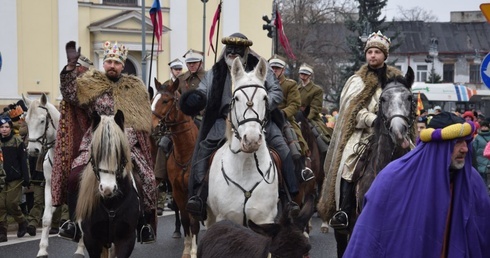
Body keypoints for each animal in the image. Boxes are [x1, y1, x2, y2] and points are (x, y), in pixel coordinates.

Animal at [22, 93, 85, 258]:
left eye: (42, 120)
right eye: (26, 121)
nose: (32, 150)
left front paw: (80, 249)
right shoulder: (51, 186)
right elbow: (46, 219)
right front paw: (42, 250)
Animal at [75, 111, 140, 258]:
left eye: (119, 152)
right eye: (95, 152)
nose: (107, 189)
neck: (111, 205)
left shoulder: (126, 239)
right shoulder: (91, 240)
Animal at [151, 78, 201, 258]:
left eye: (166, 101)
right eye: (153, 99)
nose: (152, 126)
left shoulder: (194, 192)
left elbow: (194, 221)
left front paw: (194, 251)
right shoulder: (178, 190)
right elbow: (186, 219)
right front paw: (187, 249)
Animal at [205, 57, 278, 229]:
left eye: (264, 98)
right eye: (236, 98)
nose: (251, 140)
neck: (246, 166)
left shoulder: (263, 219)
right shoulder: (225, 218)